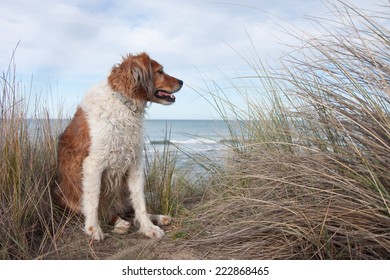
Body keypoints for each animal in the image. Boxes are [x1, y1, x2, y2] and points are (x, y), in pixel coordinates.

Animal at [53, 52, 183, 241]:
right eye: (160, 71)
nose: (181, 81)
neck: (124, 104)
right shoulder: (93, 164)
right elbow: (93, 201)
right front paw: (93, 229)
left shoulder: (135, 163)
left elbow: (140, 202)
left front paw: (148, 227)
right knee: (104, 210)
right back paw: (119, 223)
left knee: (130, 210)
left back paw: (156, 218)